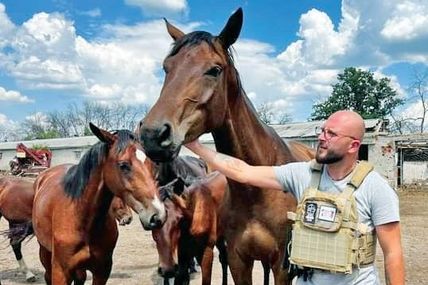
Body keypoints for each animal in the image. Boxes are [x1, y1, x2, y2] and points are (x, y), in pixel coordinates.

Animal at [140, 7, 314, 282]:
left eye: (214, 69)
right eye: (166, 68)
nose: (152, 134)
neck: (257, 190)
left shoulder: (282, 267)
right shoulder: (238, 261)